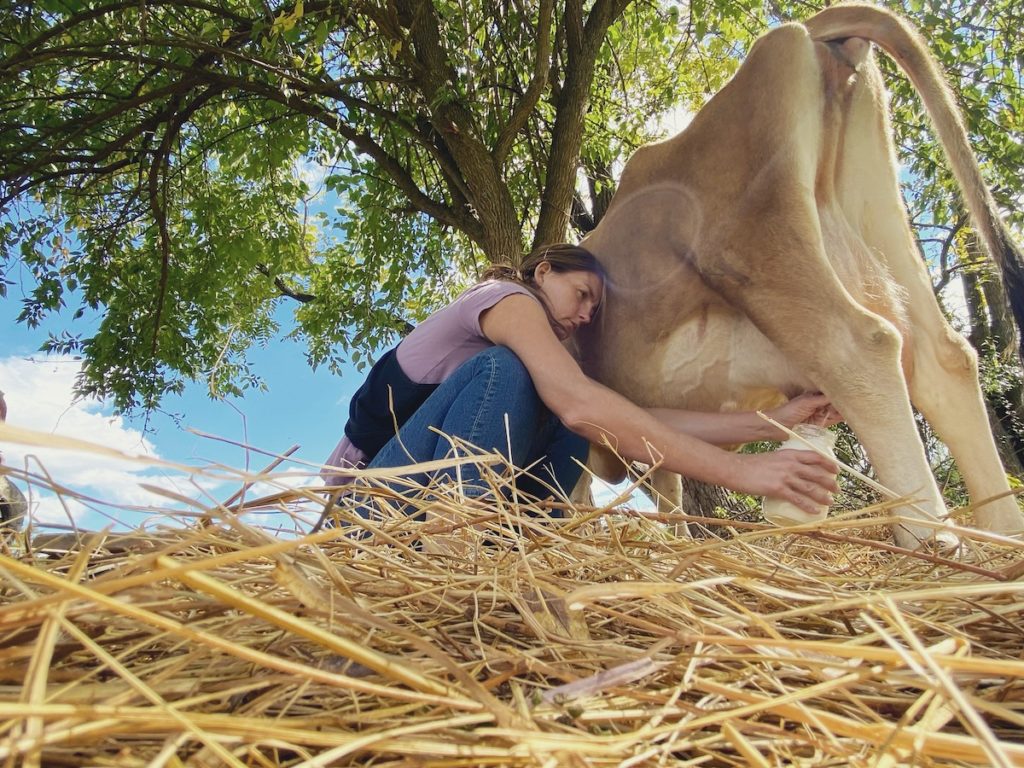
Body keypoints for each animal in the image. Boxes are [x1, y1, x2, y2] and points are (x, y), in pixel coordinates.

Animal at [581, 3, 1024, 548]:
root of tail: (804, 30)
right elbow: (667, 480)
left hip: (752, 243)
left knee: (861, 346)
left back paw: (928, 540)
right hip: (874, 219)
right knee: (943, 358)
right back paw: (1002, 544)